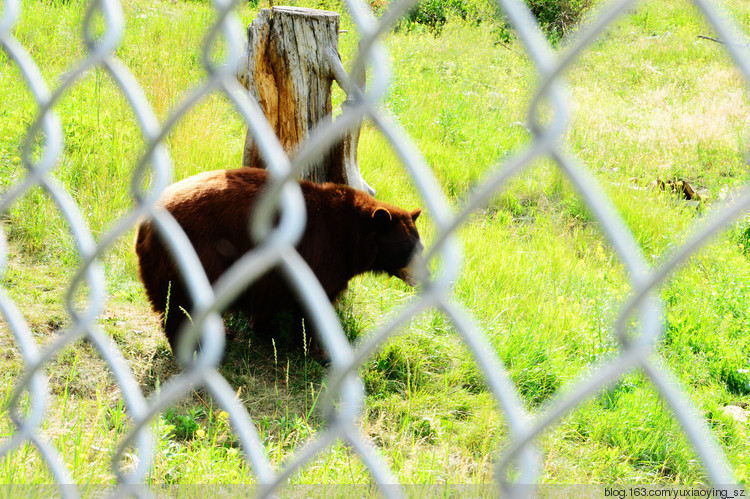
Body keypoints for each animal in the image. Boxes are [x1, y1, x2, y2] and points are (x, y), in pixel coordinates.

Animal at [134, 169, 426, 356]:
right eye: (409, 251)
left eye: (420, 247)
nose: (424, 277)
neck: (352, 237)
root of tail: (144, 226)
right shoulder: (321, 254)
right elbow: (311, 306)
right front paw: (315, 351)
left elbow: (269, 302)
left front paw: (266, 328)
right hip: (190, 259)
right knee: (179, 307)